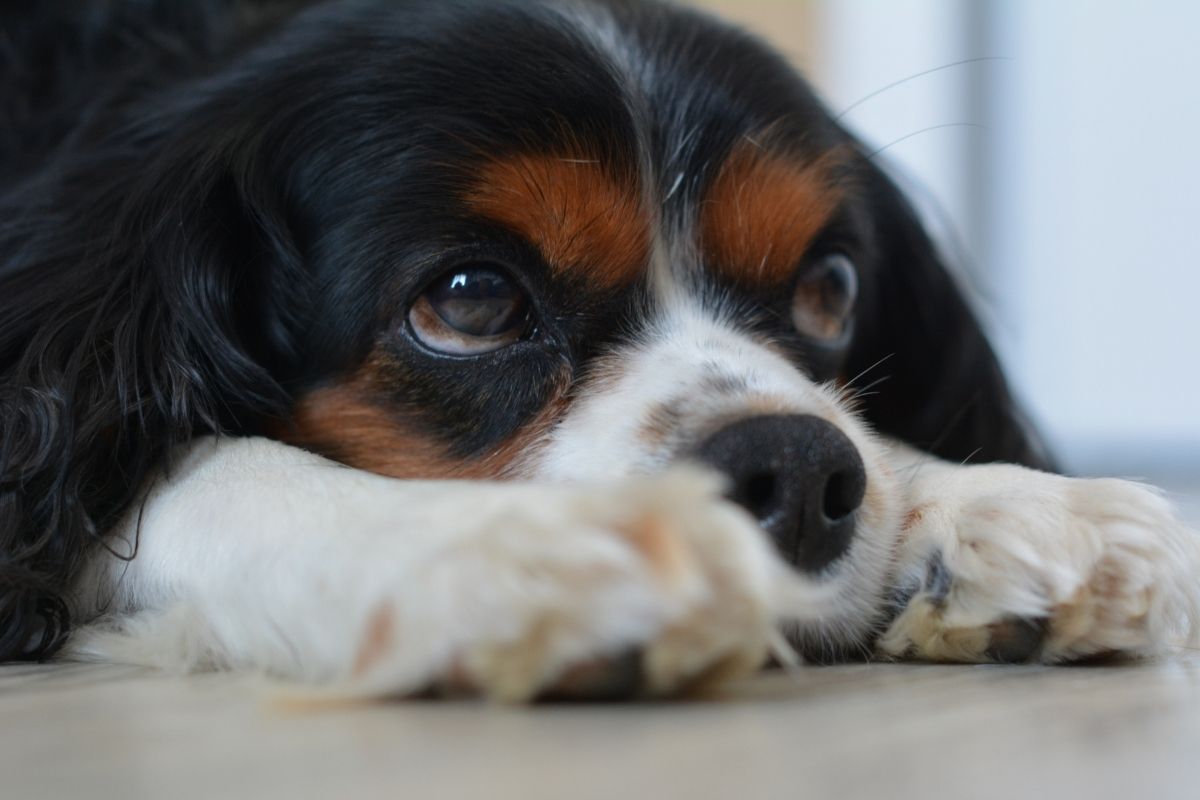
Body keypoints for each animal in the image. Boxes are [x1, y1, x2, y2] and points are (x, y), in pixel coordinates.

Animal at [0, 0, 1195, 700]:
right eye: (473, 299)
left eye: (828, 289)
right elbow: (203, 469)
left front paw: (996, 504)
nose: (798, 467)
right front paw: (503, 547)